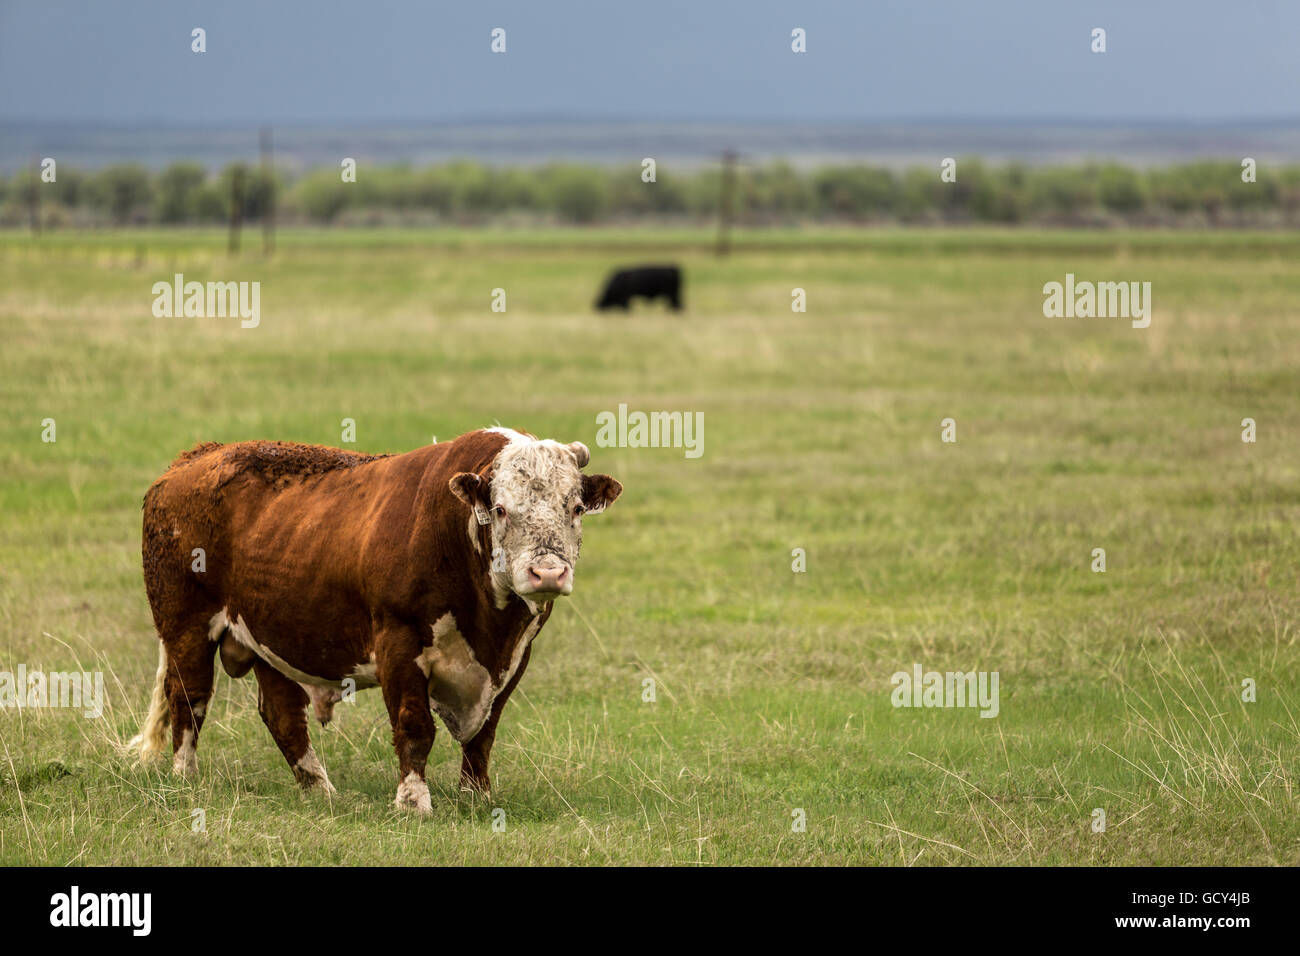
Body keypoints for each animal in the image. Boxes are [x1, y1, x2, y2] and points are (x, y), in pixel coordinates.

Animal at [129, 427, 622, 811]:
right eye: (500, 509)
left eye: (575, 508)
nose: (548, 572)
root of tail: (196, 457)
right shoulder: (398, 642)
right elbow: (414, 725)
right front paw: (413, 801)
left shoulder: (515, 655)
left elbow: (484, 732)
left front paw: (476, 796)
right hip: (186, 626)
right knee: (188, 697)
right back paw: (186, 777)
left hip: (272, 637)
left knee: (282, 714)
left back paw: (320, 790)